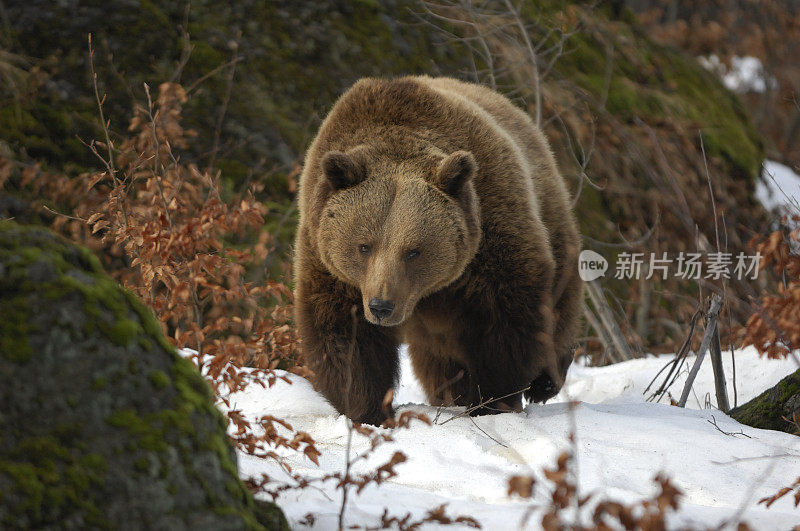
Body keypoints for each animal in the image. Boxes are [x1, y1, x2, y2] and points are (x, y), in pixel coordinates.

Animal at [294, 75, 580, 426]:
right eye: (364, 246)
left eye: (413, 251)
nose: (381, 306)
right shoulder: (329, 260)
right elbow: (344, 334)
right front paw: (368, 409)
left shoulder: (488, 234)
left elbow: (505, 320)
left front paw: (492, 400)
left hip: (550, 212)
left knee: (560, 299)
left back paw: (544, 381)